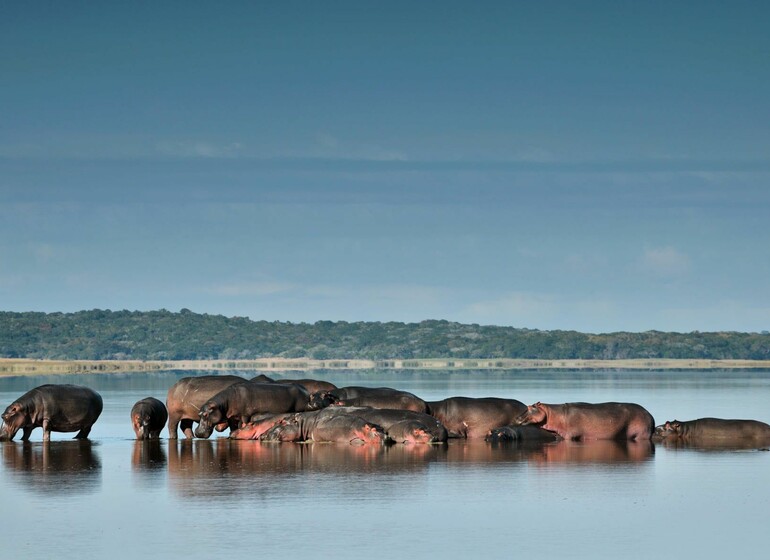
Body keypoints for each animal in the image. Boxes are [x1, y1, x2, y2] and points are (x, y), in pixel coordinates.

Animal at [512, 402, 652, 442]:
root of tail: (649, 414)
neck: (552, 413)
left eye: (530, 407)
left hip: (642, 434)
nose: (516, 418)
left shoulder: (569, 435)